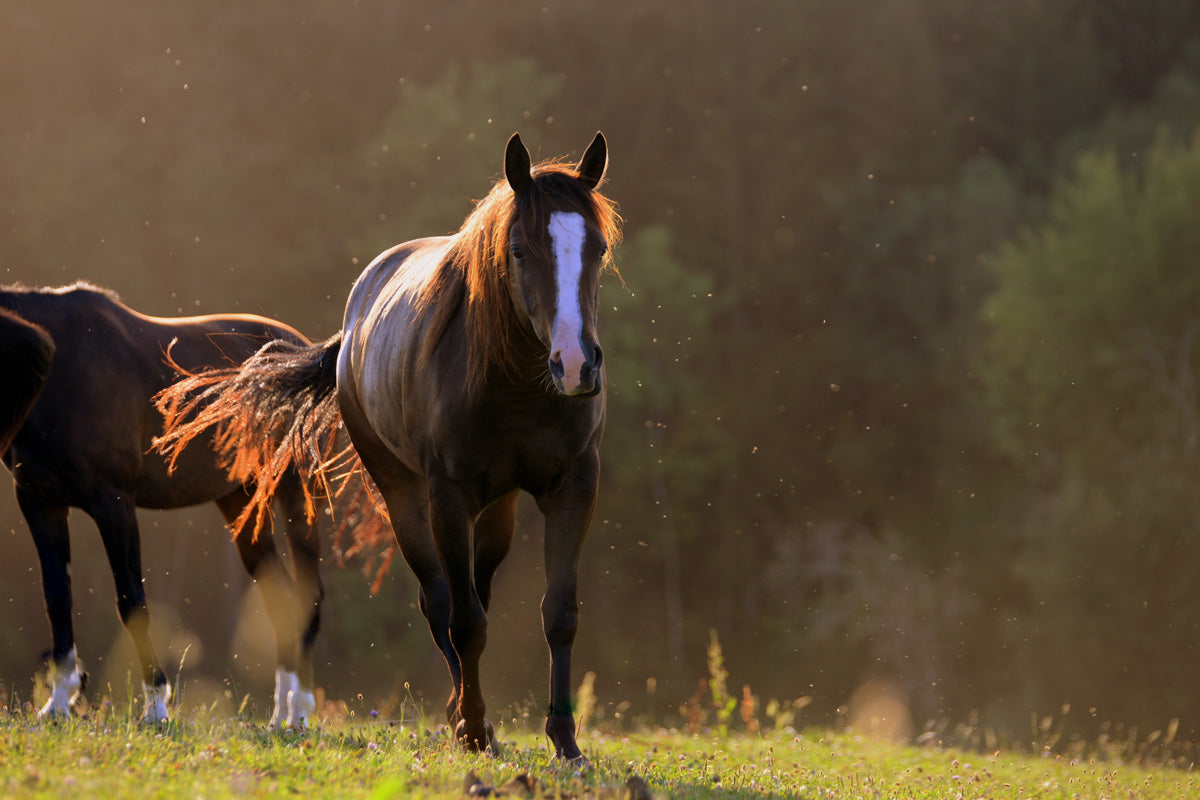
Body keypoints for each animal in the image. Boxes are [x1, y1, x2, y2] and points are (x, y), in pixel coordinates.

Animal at [0, 284, 324, 729]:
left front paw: (155, 706)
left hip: (296, 490)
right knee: (281, 599)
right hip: (239, 500)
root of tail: (302, 347)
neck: (64, 372)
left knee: (308, 595)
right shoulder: (39, 503)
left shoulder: (114, 503)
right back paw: (280, 716)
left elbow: (131, 601)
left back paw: (302, 712)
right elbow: (57, 599)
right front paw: (59, 703)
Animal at [156, 133, 624, 762]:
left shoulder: (574, 485)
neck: (516, 384)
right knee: (442, 601)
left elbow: (559, 613)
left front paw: (566, 741)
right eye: (520, 251)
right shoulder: (447, 496)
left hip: (498, 507)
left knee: (475, 590)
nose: (575, 365)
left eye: (597, 248)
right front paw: (474, 730)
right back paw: (464, 718)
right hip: (404, 494)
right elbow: (463, 619)